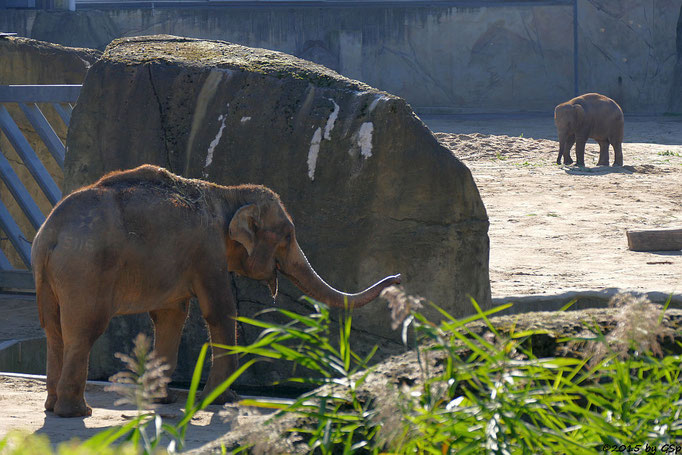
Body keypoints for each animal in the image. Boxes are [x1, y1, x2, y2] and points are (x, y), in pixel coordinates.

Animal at [31, 166, 402, 418]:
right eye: (287, 236)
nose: (398, 279)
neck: (228, 193)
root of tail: (51, 233)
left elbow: (170, 316)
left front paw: (162, 400)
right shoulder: (207, 249)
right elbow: (221, 310)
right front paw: (222, 400)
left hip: (48, 274)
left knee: (54, 331)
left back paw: (52, 406)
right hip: (86, 269)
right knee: (83, 331)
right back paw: (77, 411)